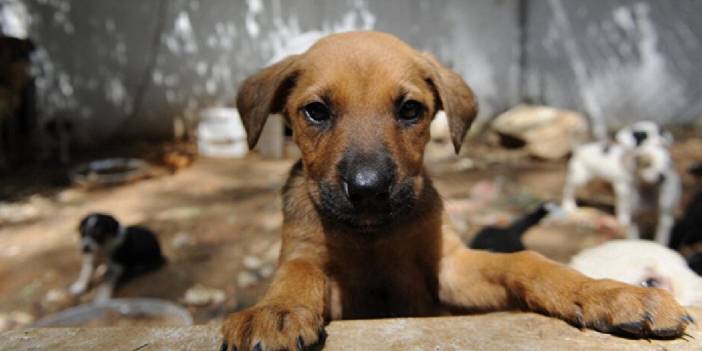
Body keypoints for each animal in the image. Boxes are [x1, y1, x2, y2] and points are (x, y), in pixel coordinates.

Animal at [221, 31, 692, 351]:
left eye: (410, 110)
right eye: (316, 112)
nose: (369, 190)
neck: (373, 235)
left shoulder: (449, 268)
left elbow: (527, 261)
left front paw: (608, 293)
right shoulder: (312, 262)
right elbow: (298, 272)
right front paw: (276, 311)